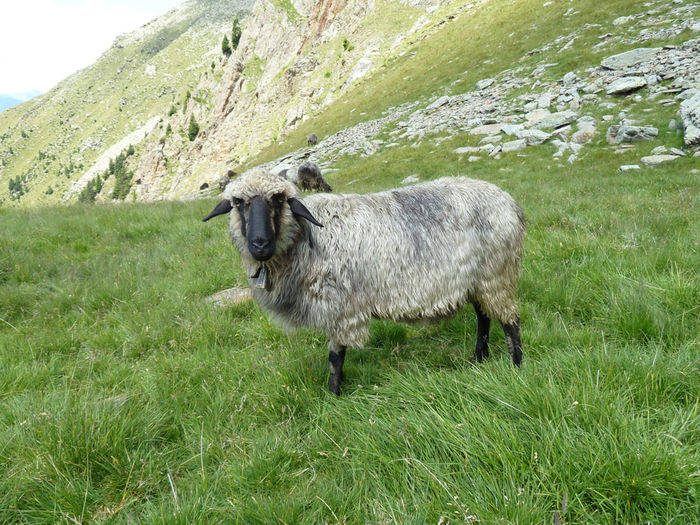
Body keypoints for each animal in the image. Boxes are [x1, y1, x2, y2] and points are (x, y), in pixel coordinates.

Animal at [202, 168, 524, 392]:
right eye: (237, 202)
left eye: (279, 199)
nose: (260, 244)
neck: (307, 238)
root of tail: (510, 202)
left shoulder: (339, 306)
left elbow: (336, 355)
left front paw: (333, 394)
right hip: (478, 280)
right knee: (484, 317)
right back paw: (478, 359)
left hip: (497, 274)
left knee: (510, 321)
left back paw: (516, 366)